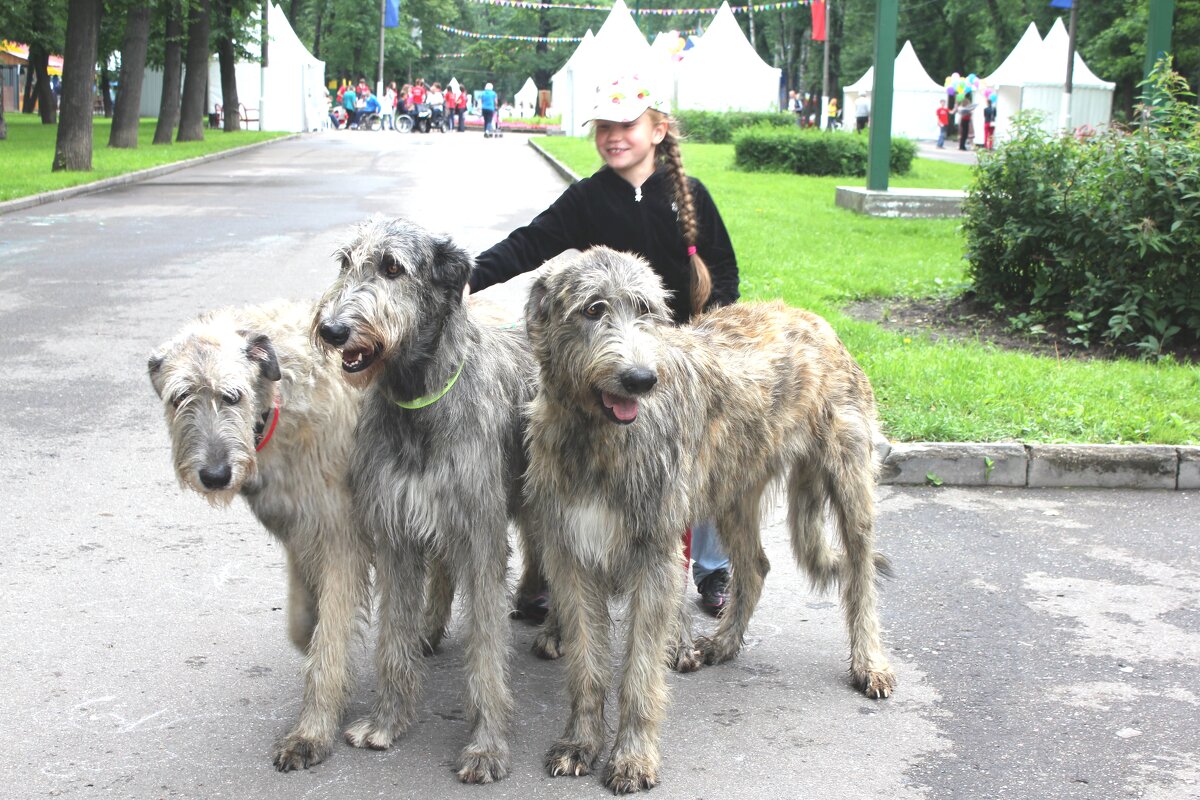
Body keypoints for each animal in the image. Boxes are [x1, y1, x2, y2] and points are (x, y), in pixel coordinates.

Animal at [148, 299, 376, 767]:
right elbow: (304, 622)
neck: (281, 402)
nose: (215, 475)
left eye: (231, 396)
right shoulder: (299, 527)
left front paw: (311, 731)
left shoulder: (342, 535)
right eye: (180, 398)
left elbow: (330, 634)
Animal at [312, 217, 537, 782]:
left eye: (393, 267)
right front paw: (387, 721)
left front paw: (486, 746)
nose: (331, 330)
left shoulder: (481, 534)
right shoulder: (397, 532)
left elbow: (486, 650)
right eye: (344, 262)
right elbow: (392, 635)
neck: (417, 400)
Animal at [520, 248, 897, 796]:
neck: (598, 437)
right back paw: (723, 642)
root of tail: (813, 318)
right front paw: (579, 743)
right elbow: (587, 666)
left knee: (860, 574)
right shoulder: (572, 555)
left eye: (646, 310)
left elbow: (639, 671)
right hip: (733, 489)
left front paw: (633, 757)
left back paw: (870, 664)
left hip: (848, 478)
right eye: (593, 309)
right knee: (756, 565)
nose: (641, 379)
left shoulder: (654, 556)